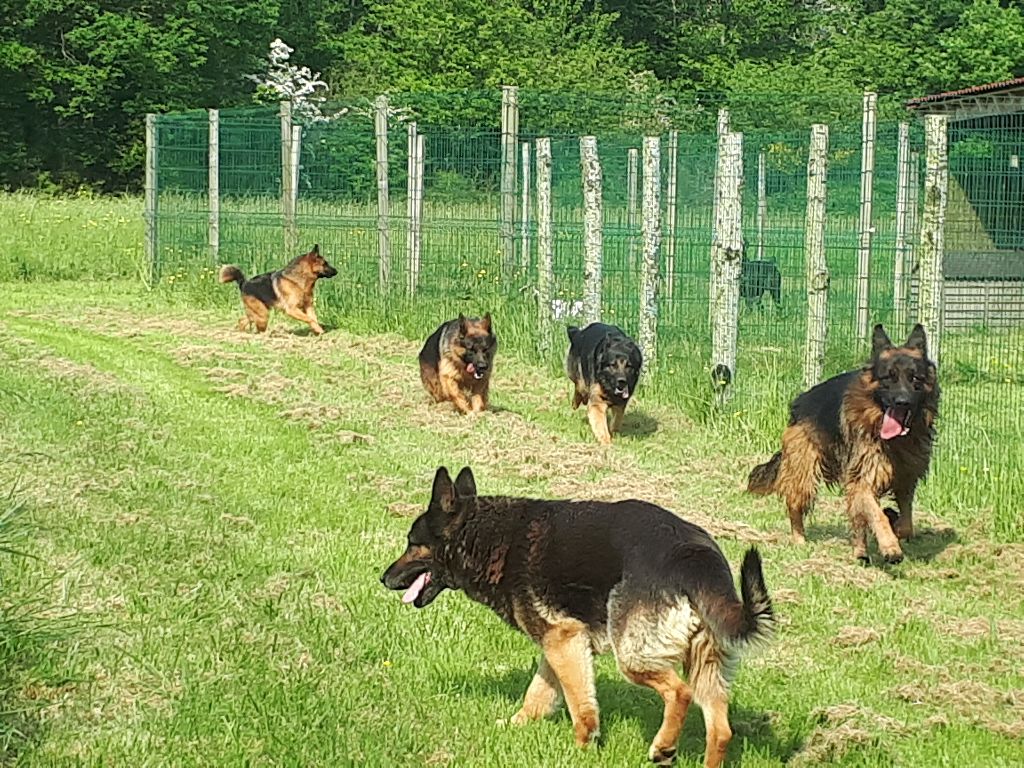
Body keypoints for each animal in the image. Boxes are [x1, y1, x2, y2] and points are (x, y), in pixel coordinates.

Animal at [380, 468, 770, 768]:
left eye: (412, 543)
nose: (383, 578)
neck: (490, 539)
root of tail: (694, 554)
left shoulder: (563, 640)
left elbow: (580, 705)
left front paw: (582, 748)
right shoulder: (560, 644)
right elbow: (538, 694)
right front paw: (515, 725)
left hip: (633, 656)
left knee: (680, 693)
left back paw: (663, 746)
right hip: (705, 662)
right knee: (720, 729)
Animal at [749, 325, 937, 565]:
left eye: (915, 379)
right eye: (889, 377)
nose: (902, 401)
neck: (895, 441)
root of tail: (799, 402)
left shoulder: (906, 480)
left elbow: (905, 524)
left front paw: (894, 523)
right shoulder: (862, 480)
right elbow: (877, 515)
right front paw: (890, 546)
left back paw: (860, 551)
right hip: (805, 473)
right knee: (795, 505)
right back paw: (800, 539)